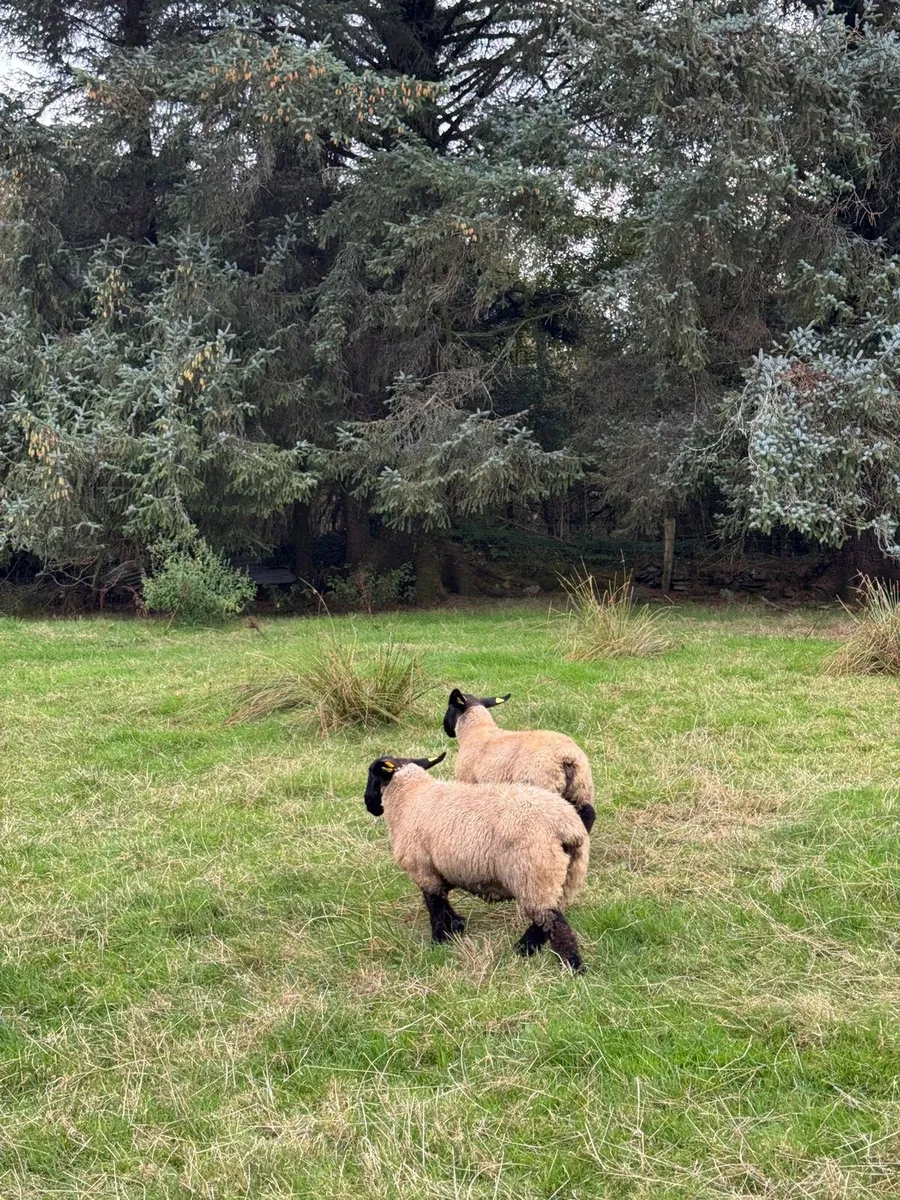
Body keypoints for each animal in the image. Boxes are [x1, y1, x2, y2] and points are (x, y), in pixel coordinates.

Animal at [364, 751, 588, 972]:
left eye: (372, 775)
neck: (409, 797)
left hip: (533, 875)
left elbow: (435, 907)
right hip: (569, 875)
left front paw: (438, 942)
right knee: (547, 921)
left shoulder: (424, 870)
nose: (368, 804)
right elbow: (443, 902)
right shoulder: (440, 871)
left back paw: (571, 966)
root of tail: (565, 828)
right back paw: (523, 950)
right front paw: (457, 925)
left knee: (555, 924)